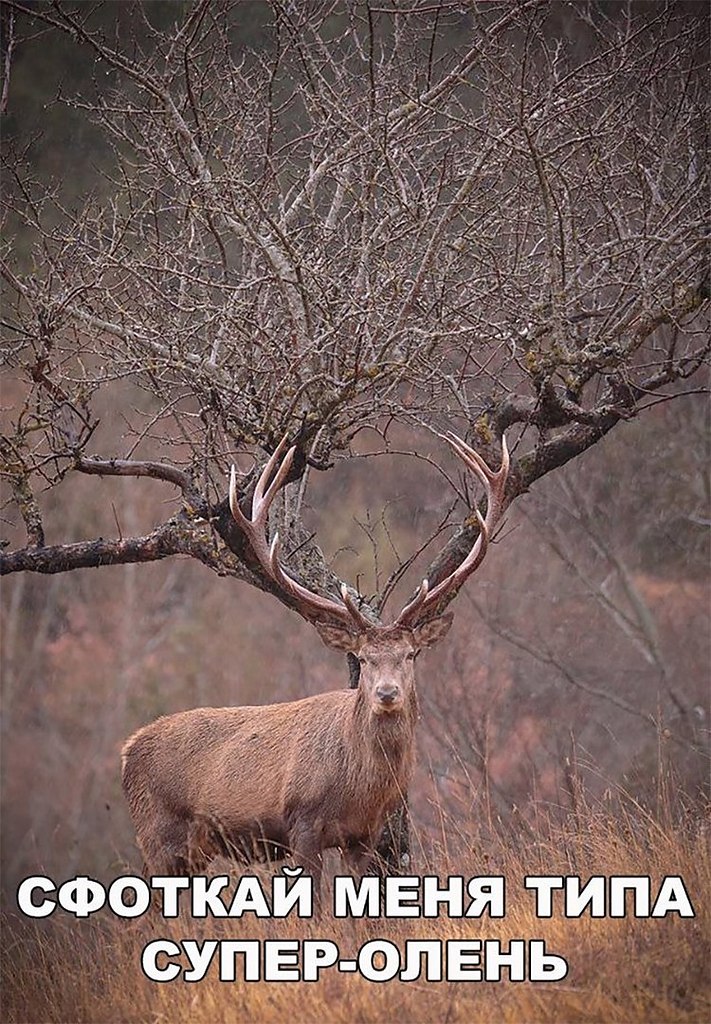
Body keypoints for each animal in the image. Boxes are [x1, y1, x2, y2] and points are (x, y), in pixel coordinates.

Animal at [123, 428, 512, 901]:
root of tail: (126, 751)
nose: (386, 693)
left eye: (410, 654)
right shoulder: (301, 823)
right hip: (158, 834)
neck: (358, 788)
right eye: (362, 658)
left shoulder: (364, 835)